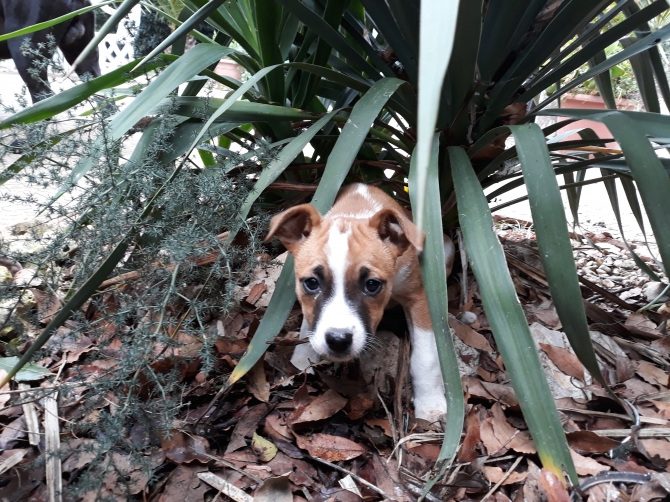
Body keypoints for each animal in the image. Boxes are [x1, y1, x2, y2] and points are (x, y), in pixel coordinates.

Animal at [268, 182, 456, 422]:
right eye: (311, 283)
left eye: (372, 285)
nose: (338, 340)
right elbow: (307, 327)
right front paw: (301, 363)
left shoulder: (419, 298)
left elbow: (426, 356)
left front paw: (430, 402)